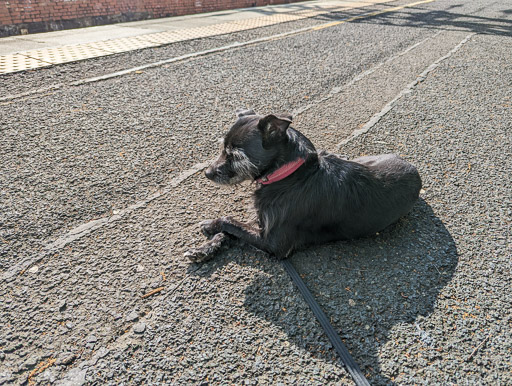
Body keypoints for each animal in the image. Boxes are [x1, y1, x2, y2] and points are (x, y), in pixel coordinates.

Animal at [186, 109, 422, 262]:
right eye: (222, 148)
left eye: (235, 156)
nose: (207, 173)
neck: (289, 176)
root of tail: (412, 166)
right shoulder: (262, 219)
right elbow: (232, 229)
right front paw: (207, 246)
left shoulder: (274, 243)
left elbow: (231, 223)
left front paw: (214, 226)